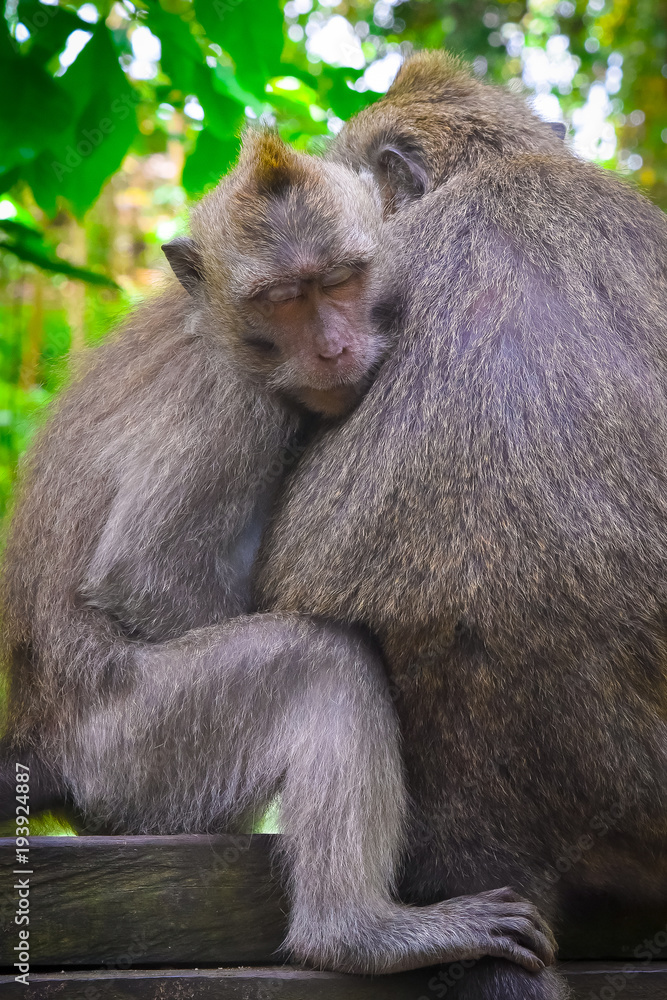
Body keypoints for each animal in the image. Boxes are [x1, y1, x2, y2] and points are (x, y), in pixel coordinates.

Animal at [0, 127, 552, 976]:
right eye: (283, 299)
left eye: (340, 280)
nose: (332, 348)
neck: (225, 333)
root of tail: (41, 737)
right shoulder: (234, 402)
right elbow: (147, 578)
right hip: (135, 752)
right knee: (318, 665)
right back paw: (354, 933)